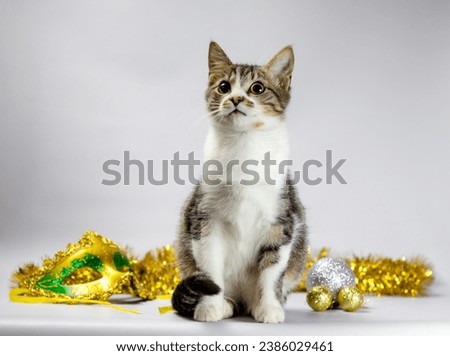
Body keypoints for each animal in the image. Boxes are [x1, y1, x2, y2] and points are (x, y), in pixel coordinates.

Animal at [171, 41, 308, 322]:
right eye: (224, 86)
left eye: (258, 88)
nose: (235, 98)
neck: (244, 148)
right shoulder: (204, 218)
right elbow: (209, 267)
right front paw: (210, 305)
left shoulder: (282, 221)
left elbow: (273, 269)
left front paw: (269, 307)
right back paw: (226, 303)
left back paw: (256, 304)